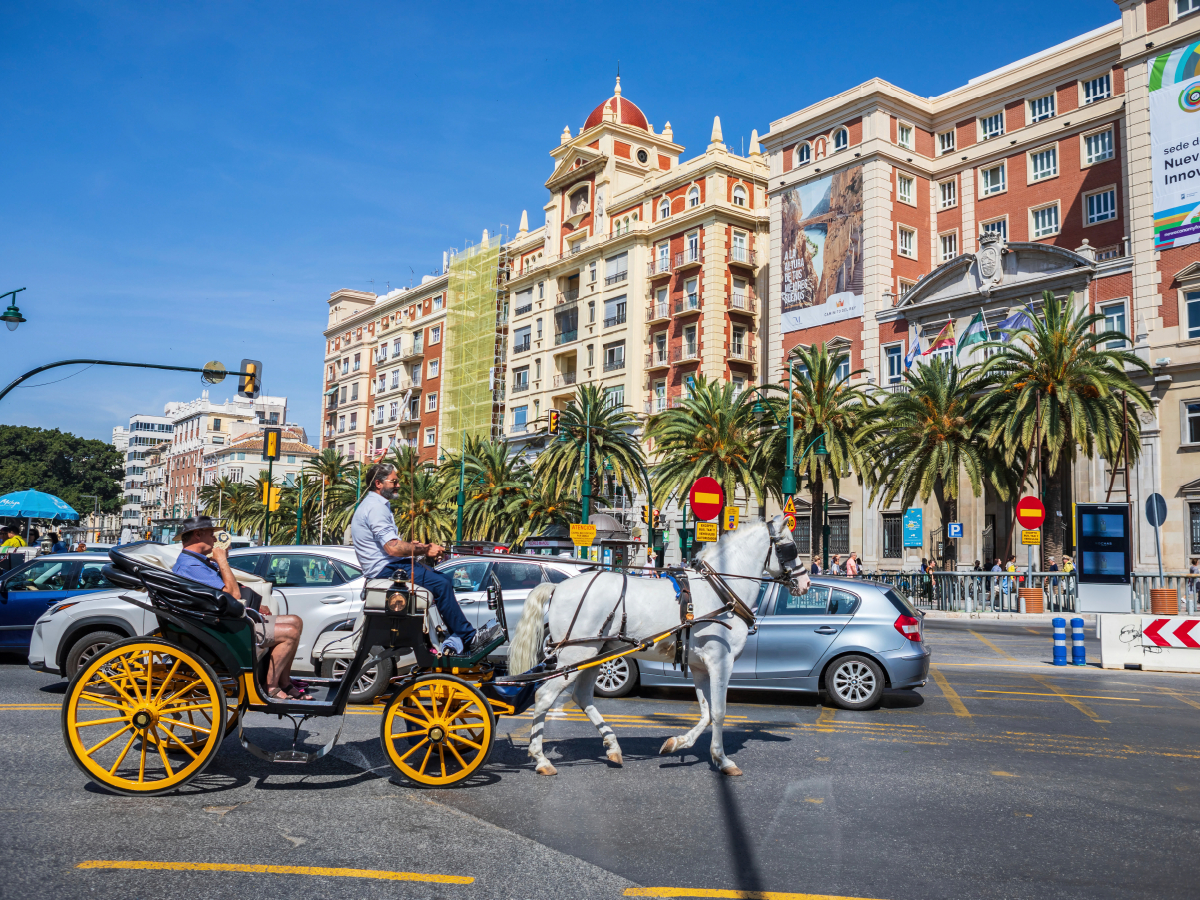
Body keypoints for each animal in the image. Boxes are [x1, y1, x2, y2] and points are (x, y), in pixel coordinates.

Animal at [506, 518, 806, 777]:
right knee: (544, 695)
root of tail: (558, 587)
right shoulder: (722, 661)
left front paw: (678, 743)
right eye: (790, 546)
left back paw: (612, 746)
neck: (721, 591)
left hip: (595, 653)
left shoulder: (700, 666)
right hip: (576, 654)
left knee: (582, 696)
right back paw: (541, 758)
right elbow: (719, 712)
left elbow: (707, 712)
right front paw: (722, 760)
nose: (805, 582)